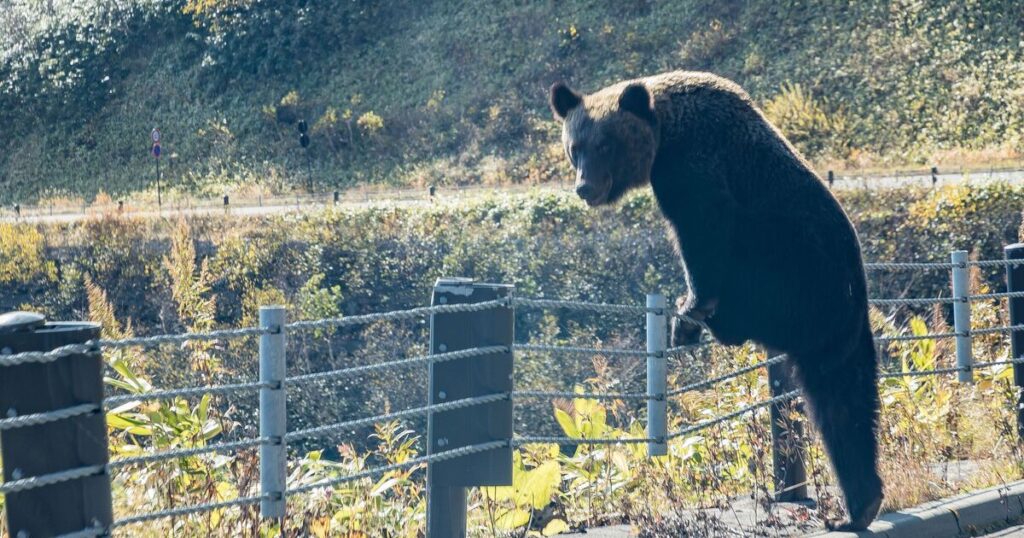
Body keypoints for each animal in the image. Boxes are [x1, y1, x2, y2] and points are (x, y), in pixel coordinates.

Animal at [549, 71, 882, 531]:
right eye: (574, 147)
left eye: (604, 145)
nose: (585, 187)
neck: (664, 129)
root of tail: (854, 287)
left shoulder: (693, 168)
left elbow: (703, 231)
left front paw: (690, 307)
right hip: (838, 324)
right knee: (846, 401)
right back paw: (861, 505)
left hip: (789, 276)